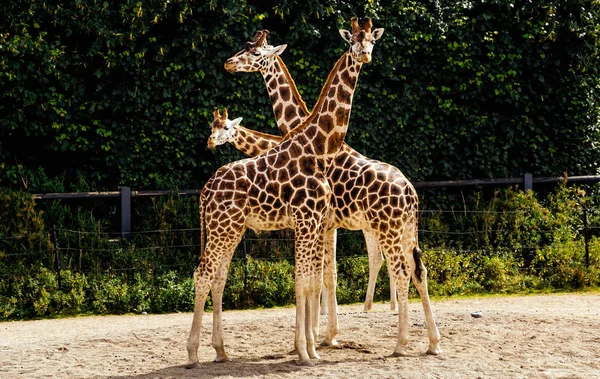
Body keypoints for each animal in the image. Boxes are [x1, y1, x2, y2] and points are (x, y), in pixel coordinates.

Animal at [188, 18, 382, 368]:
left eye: (372, 41)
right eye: (352, 42)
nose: (228, 62)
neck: (317, 145)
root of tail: (205, 190)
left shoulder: (317, 223)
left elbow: (312, 280)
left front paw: (313, 346)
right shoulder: (309, 222)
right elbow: (308, 280)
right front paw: (307, 348)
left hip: (231, 230)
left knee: (217, 276)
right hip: (224, 229)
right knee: (205, 275)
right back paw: (196, 354)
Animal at [221, 28, 440, 354]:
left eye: (255, 53)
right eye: (243, 47)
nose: (229, 63)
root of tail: (410, 192)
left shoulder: (323, 222)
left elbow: (324, 276)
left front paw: (319, 338)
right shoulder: (328, 224)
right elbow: (325, 276)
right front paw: (324, 336)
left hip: (387, 228)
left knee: (400, 270)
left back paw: (401, 342)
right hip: (407, 229)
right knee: (418, 270)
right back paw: (433, 342)